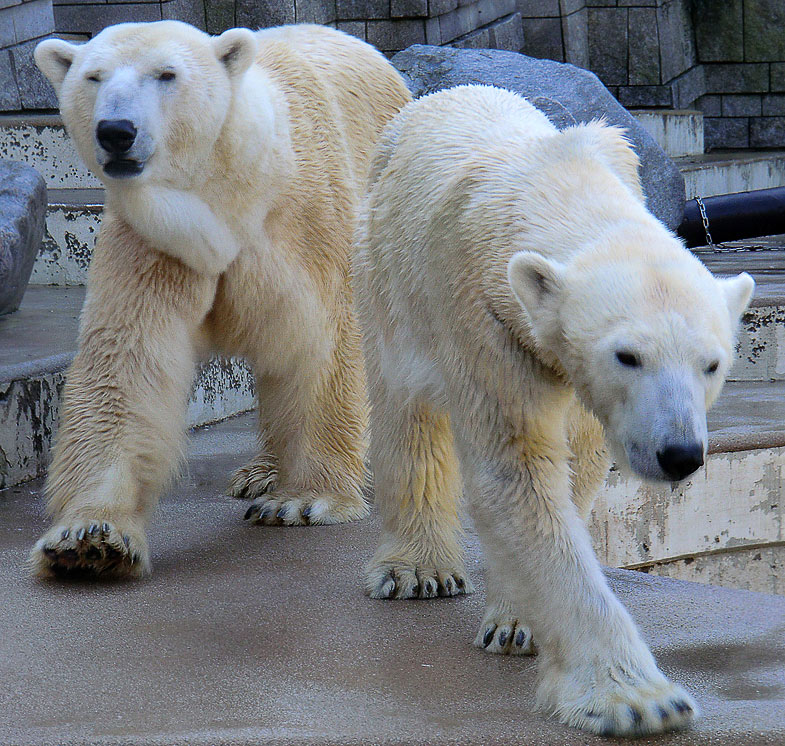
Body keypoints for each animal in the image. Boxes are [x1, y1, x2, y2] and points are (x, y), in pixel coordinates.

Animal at [29, 18, 410, 576]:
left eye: (166, 74)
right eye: (93, 77)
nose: (116, 131)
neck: (231, 192)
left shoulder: (310, 226)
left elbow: (323, 341)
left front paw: (305, 500)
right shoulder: (156, 241)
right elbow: (126, 364)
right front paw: (88, 537)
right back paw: (260, 472)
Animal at [350, 84, 752, 736]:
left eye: (712, 363)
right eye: (627, 355)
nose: (679, 454)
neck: (556, 181)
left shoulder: (575, 377)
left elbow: (577, 464)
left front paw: (516, 619)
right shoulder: (485, 316)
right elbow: (517, 471)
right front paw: (639, 700)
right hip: (384, 274)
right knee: (403, 408)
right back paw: (419, 568)